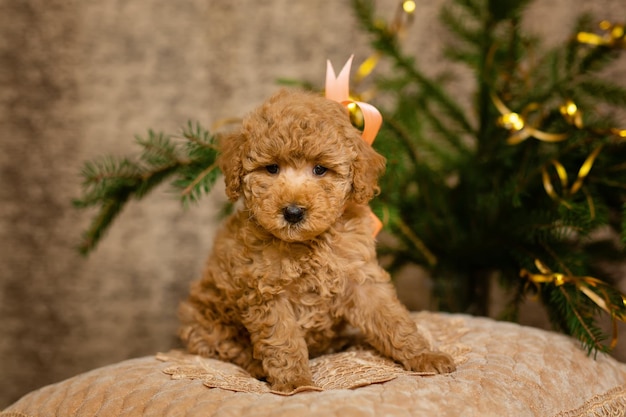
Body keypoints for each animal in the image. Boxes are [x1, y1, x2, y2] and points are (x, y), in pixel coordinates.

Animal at [178, 89, 456, 392]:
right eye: (272, 168)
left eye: (320, 169)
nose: (293, 212)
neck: (310, 244)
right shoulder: (267, 292)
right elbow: (283, 338)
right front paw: (296, 382)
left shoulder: (360, 278)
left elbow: (392, 318)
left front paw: (424, 355)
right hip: (203, 320)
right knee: (225, 346)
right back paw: (257, 365)